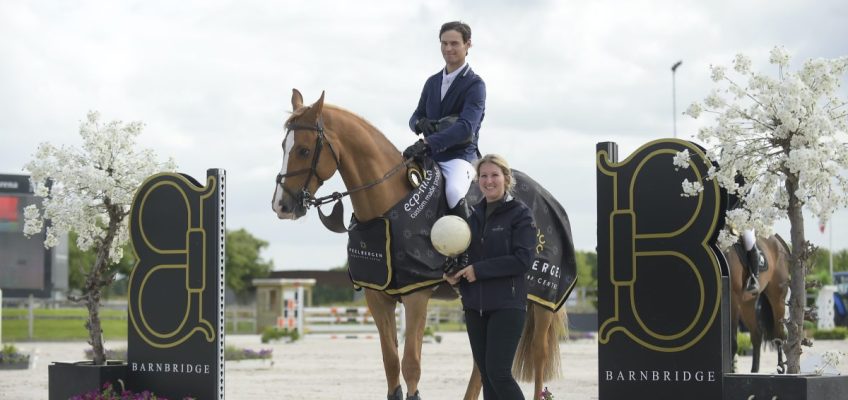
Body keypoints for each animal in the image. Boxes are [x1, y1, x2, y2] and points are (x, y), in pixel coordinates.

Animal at [268, 89, 568, 398]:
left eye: (304, 150)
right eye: (283, 146)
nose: (281, 205)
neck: (386, 207)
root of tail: (547, 197)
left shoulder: (417, 293)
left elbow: (410, 363)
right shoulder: (377, 296)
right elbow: (390, 362)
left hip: (542, 298)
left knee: (538, 354)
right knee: (481, 359)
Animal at [724, 234, 792, 372]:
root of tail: (778, 240)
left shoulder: (733, 299)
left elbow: (732, 342)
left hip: (777, 300)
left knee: (780, 334)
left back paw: (780, 367)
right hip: (748, 303)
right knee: (756, 335)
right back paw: (754, 370)